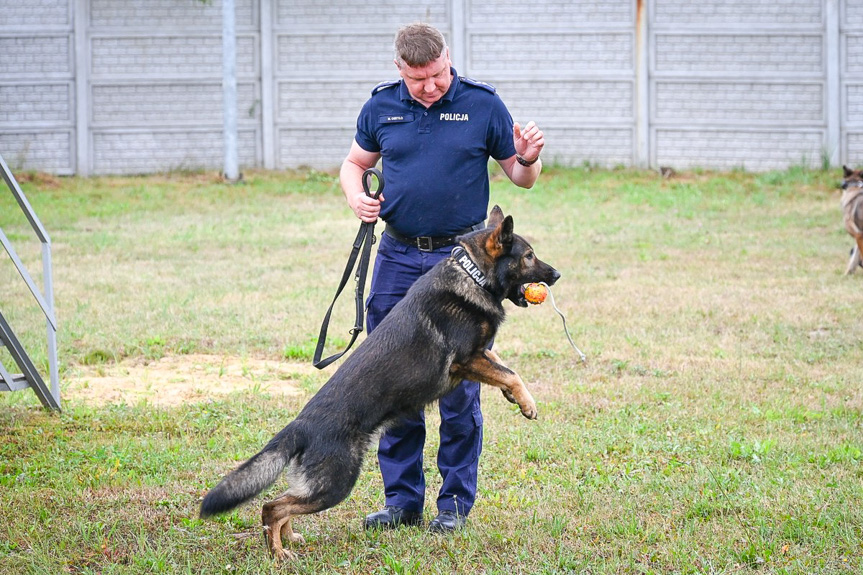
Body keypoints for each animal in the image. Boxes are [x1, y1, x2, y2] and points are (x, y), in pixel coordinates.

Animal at [199, 206, 560, 560]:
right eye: (529, 255)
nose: (556, 275)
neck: (473, 275)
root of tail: (299, 426)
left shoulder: (479, 356)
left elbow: (502, 365)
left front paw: (515, 397)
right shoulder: (467, 359)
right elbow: (511, 372)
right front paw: (528, 403)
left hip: (321, 484)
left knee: (284, 503)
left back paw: (289, 539)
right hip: (336, 483)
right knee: (272, 507)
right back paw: (277, 552)